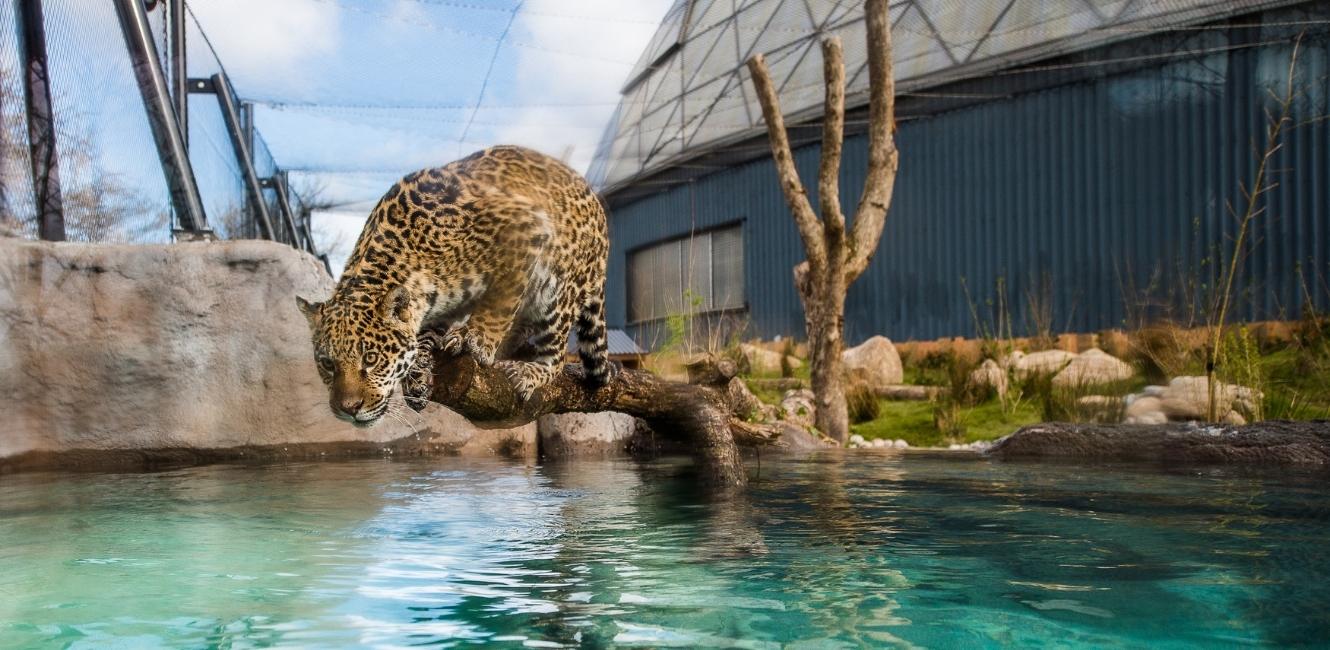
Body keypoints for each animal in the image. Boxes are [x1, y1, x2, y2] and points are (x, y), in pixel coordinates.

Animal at [296, 145, 614, 427]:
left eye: (371, 359)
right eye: (327, 364)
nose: (348, 409)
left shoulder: (525, 225)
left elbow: (500, 301)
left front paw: (476, 339)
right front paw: (418, 374)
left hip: (557, 289)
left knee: (557, 354)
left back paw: (528, 369)